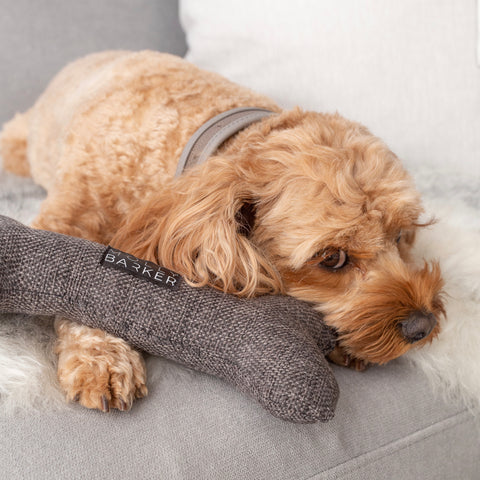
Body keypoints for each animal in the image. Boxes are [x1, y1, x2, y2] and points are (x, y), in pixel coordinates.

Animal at [0, 51, 444, 412]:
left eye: (401, 235)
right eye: (332, 259)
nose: (422, 326)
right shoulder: (66, 219)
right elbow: (82, 288)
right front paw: (103, 358)